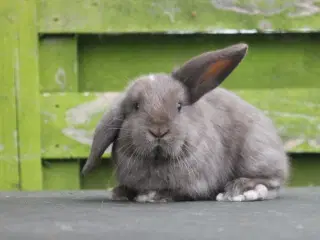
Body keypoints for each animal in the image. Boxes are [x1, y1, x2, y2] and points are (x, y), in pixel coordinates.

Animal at [80, 43, 290, 202]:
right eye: (136, 106)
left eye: (179, 106)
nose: (158, 130)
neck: (156, 162)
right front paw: (120, 192)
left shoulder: (197, 183)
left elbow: (180, 192)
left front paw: (154, 196)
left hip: (256, 153)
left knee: (273, 181)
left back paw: (239, 190)